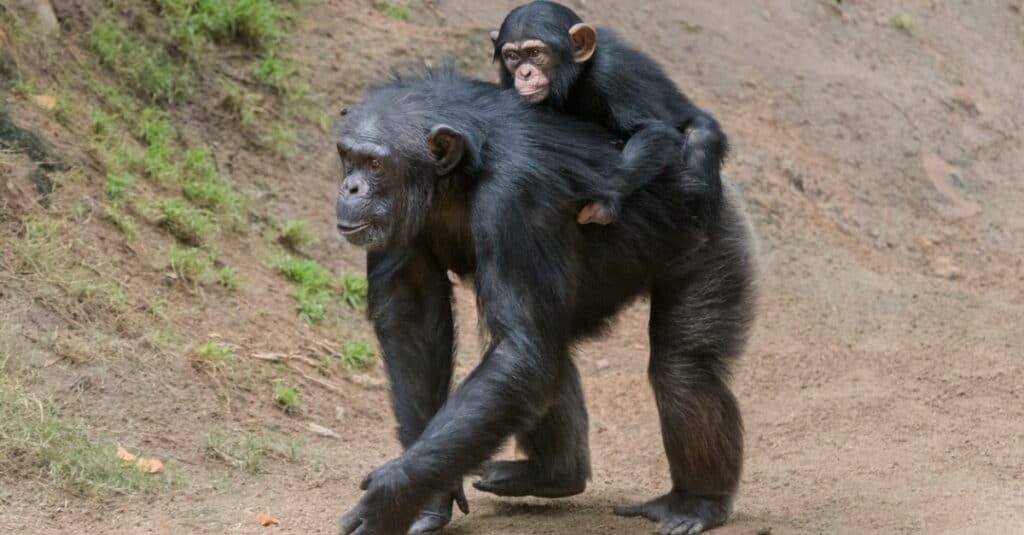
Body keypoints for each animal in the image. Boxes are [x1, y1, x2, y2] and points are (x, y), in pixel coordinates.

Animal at [333, 69, 753, 532]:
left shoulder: (516, 198)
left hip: (715, 237)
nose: (350, 186)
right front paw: (427, 497)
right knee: (545, 349)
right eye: (348, 156)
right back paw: (553, 473)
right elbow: (413, 317)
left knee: (684, 370)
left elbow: (520, 351)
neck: (456, 178)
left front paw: (393, 494)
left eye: (376, 164)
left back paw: (696, 502)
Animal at [489, 0, 724, 225]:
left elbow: (653, 129)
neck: (575, 75)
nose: (525, 73)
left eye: (535, 53)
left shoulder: (612, 72)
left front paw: (606, 199)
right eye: (512, 56)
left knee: (700, 139)